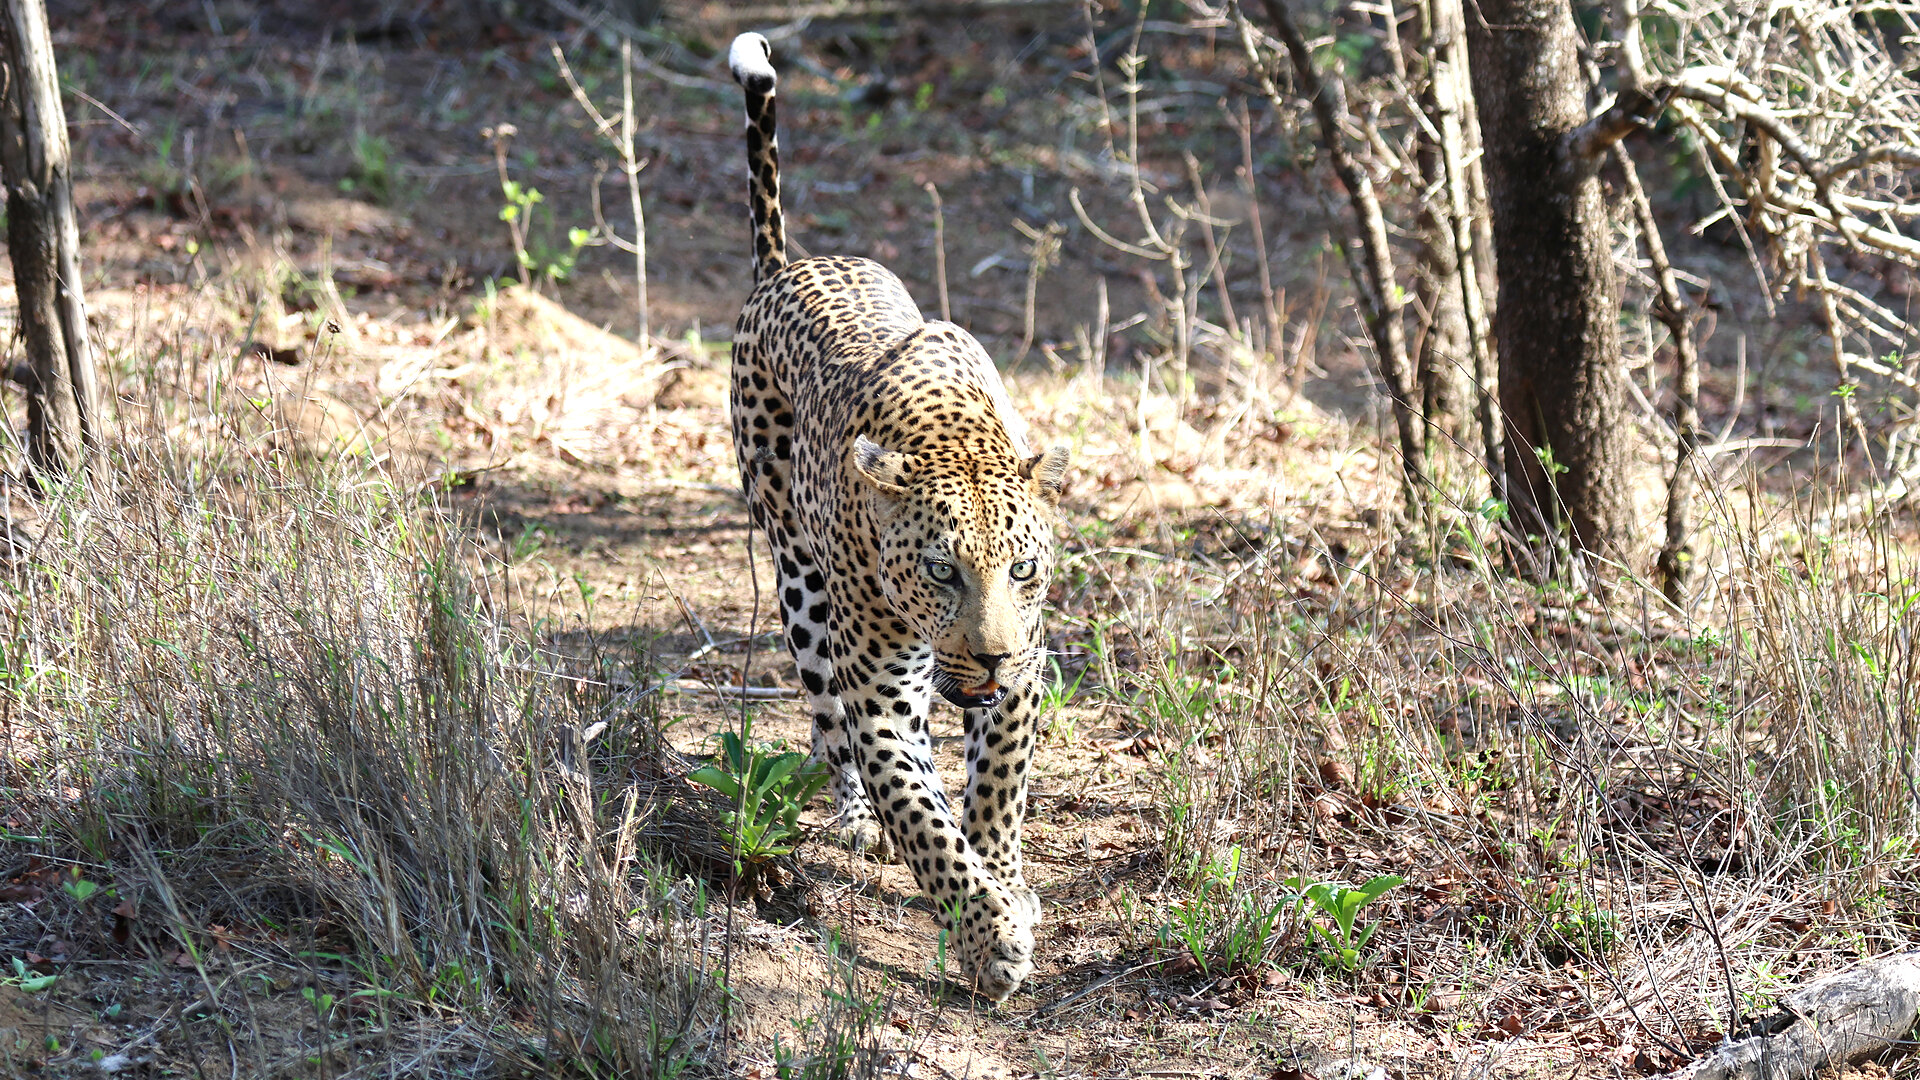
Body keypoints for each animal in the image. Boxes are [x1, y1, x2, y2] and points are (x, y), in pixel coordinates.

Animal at [725, 32, 1069, 1002]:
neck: (956, 437)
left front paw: (1005, 884)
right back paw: (855, 818)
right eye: (940, 571)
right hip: (801, 589)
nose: (987, 653)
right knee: (830, 729)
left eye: (1023, 571)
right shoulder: (878, 696)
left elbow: (996, 791)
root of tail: (790, 265)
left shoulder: (1024, 675)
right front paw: (987, 936)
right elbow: (922, 822)